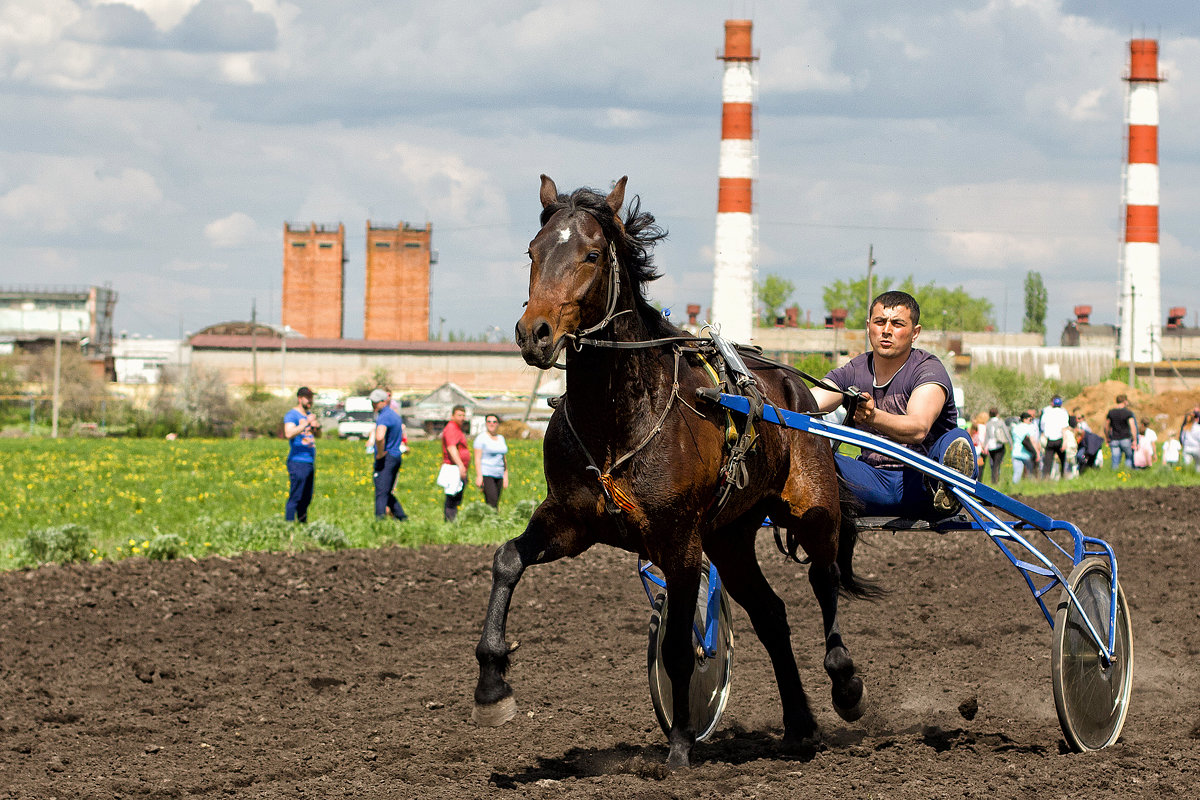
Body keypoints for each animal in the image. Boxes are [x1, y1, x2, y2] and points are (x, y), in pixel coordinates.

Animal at [468, 176, 873, 767]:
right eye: (533, 252)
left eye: (591, 254)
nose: (533, 333)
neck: (618, 418)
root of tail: (796, 387)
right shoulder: (569, 521)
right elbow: (506, 561)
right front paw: (492, 684)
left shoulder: (680, 541)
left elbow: (682, 645)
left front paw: (681, 741)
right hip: (730, 537)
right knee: (772, 614)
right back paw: (800, 724)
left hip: (809, 505)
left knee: (824, 578)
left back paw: (844, 686)